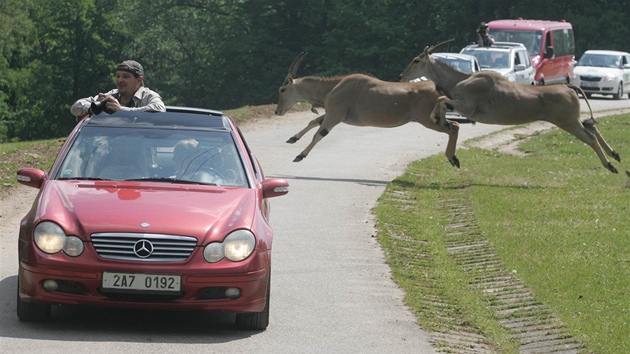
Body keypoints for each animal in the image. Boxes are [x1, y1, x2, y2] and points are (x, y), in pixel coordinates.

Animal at [400, 40, 624, 174]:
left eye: (416, 60)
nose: (402, 75)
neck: (459, 79)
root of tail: (569, 86)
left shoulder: (466, 107)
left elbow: (441, 101)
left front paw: (439, 119)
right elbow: (442, 102)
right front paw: (442, 122)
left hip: (568, 122)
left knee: (591, 137)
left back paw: (610, 165)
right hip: (572, 121)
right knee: (591, 126)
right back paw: (615, 155)